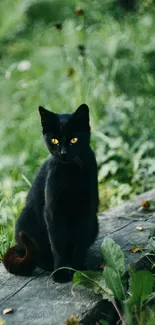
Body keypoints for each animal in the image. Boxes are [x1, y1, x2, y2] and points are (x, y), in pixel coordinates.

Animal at [3, 104, 98, 280]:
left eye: (74, 139)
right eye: (54, 140)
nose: (63, 153)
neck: (70, 174)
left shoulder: (86, 211)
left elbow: (80, 243)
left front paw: (79, 270)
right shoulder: (53, 211)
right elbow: (58, 244)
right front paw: (61, 272)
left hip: (95, 223)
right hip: (26, 222)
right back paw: (48, 264)